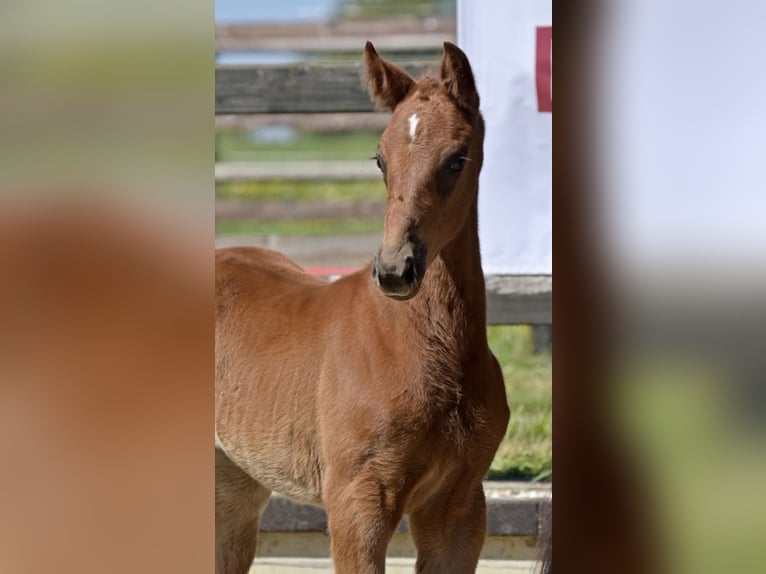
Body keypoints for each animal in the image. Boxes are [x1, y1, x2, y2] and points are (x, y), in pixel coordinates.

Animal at [215, 41, 510, 574]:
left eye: (457, 159)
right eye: (379, 159)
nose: (395, 270)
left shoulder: (459, 506)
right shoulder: (358, 501)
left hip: (235, 484)